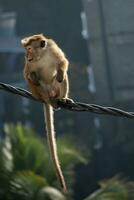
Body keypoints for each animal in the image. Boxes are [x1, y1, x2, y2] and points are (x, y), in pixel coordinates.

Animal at [21, 33, 70, 192]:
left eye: (29, 49)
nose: (26, 55)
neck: (41, 55)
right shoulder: (29, 65)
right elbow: (27, 74)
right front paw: (33, 77)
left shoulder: (53, 49)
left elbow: (62, 61)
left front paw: (61, 72)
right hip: (40, 93)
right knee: (38, 85)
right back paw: (51, 101)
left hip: (55, 89)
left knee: (63, 80)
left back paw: (63, 99)